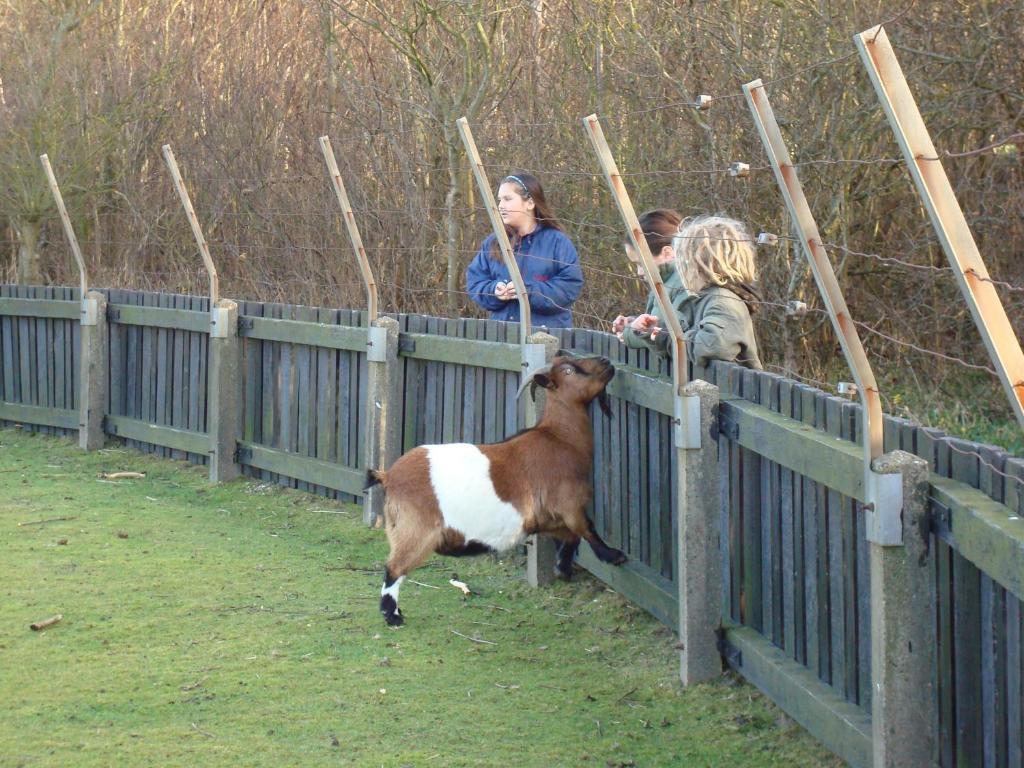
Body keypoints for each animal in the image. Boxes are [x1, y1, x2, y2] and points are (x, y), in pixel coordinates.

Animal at [368, 354, 622, 626]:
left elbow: (571, 536)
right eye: (568, 370)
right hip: (416, 529)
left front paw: (562, 569)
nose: (606, 361)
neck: (559, 437)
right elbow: (586, 528)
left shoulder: (546, 517)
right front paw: (614, 555)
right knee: (394, 568)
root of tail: (388, 476)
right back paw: (393, 616)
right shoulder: (568, 502)